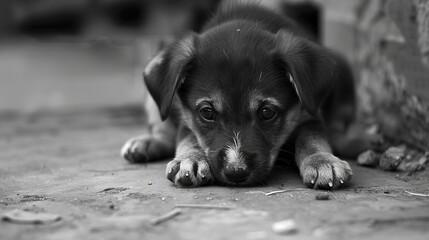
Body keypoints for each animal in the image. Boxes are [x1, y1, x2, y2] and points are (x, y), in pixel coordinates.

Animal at [121, 2, 362, 189]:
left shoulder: (310, 113)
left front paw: (322, 161)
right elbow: (188, 136)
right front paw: (191, 160)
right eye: (207, 112)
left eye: (267, 112)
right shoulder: (186, 116)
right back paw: (147, 143)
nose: (236, 173)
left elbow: (311, 137)